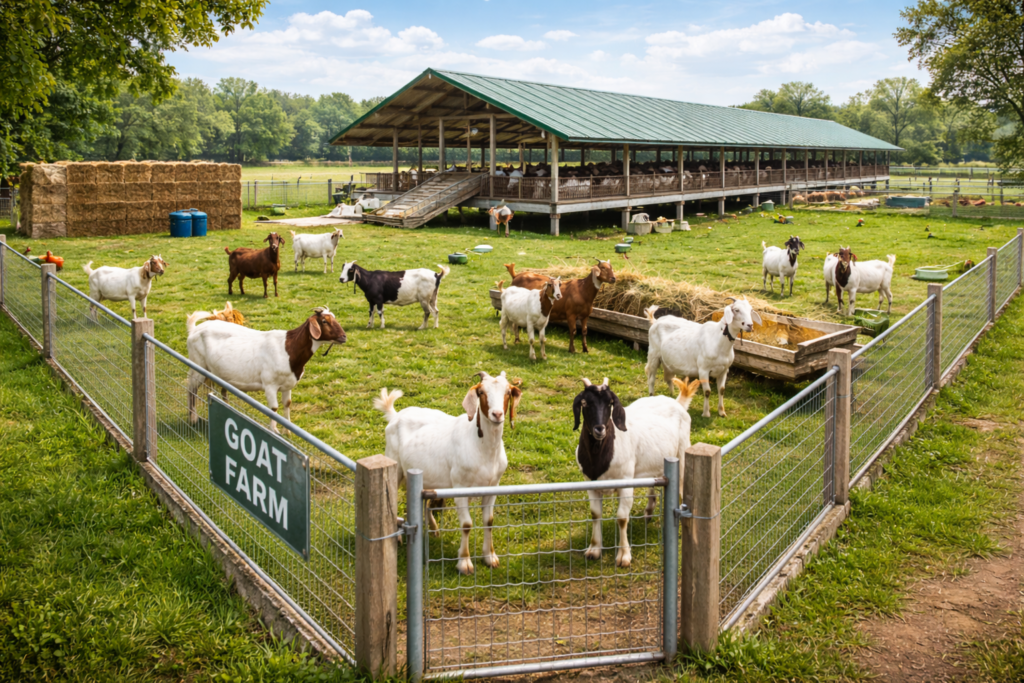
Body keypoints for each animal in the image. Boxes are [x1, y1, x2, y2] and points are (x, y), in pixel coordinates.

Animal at [186, 307, 346, 433]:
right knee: (191, 390)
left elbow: (287, 404)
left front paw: (287, 431)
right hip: (197, 367)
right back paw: (193, 418)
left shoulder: (287, 385)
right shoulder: (270, 385)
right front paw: (274, 431)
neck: (289, 349)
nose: (344, 337)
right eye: (324, 321)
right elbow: (273, 409)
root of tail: (194, 330)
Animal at [374, 371, 523, 575]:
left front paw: (490, 557)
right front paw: (465, 563)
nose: (497, 414)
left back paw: (432, 528)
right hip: (395, 466)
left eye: (508, 391)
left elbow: (489, 521)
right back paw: (397, 537)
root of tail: (395, 416)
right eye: (482, 392)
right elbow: (467, 524)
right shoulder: (460, 487)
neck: (482, 448)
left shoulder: (493, 487)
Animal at [573, 377, 701, 567]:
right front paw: (594, 550)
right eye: (584, 403)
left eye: (610, 403)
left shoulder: (626, 482)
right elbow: (596, 514)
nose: (599, 429)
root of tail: (678, 402)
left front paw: (624, 556)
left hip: (683, 451)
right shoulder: (590, 483)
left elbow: (621, 518)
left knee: (682, 484)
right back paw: (649, 511)